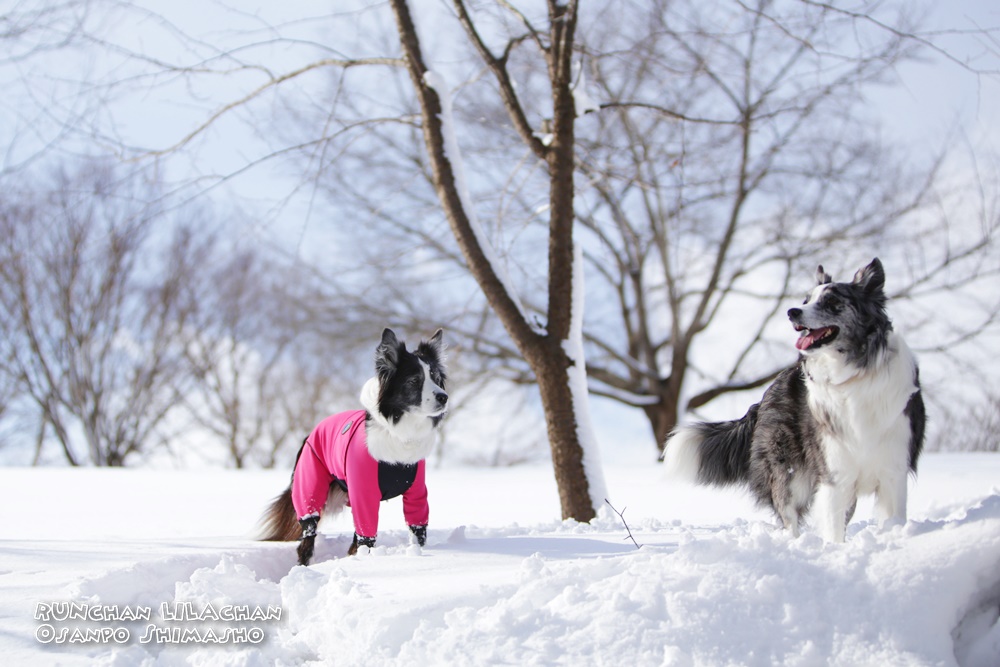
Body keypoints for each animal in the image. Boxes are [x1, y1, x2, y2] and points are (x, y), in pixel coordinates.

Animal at [260, 328, 448, 564]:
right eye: (414, 380)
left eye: (436, 378)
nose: (444, 397)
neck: (399, 433)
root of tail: (310, 433)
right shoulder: (364, 491)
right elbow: (366, 533)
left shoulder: (416, 491)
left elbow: (417, 529)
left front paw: (418, 554)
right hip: (309, 485)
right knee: (308, 535)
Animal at [660, 260, 924, 544]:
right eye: (806, 300)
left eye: (832, 301)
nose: (792, 312)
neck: (855, 374)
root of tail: (764, 397)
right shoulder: (835, 472)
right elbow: (832, 525)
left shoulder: (893, 469)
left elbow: (892, 517)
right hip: (787, 472)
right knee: (789, 515)